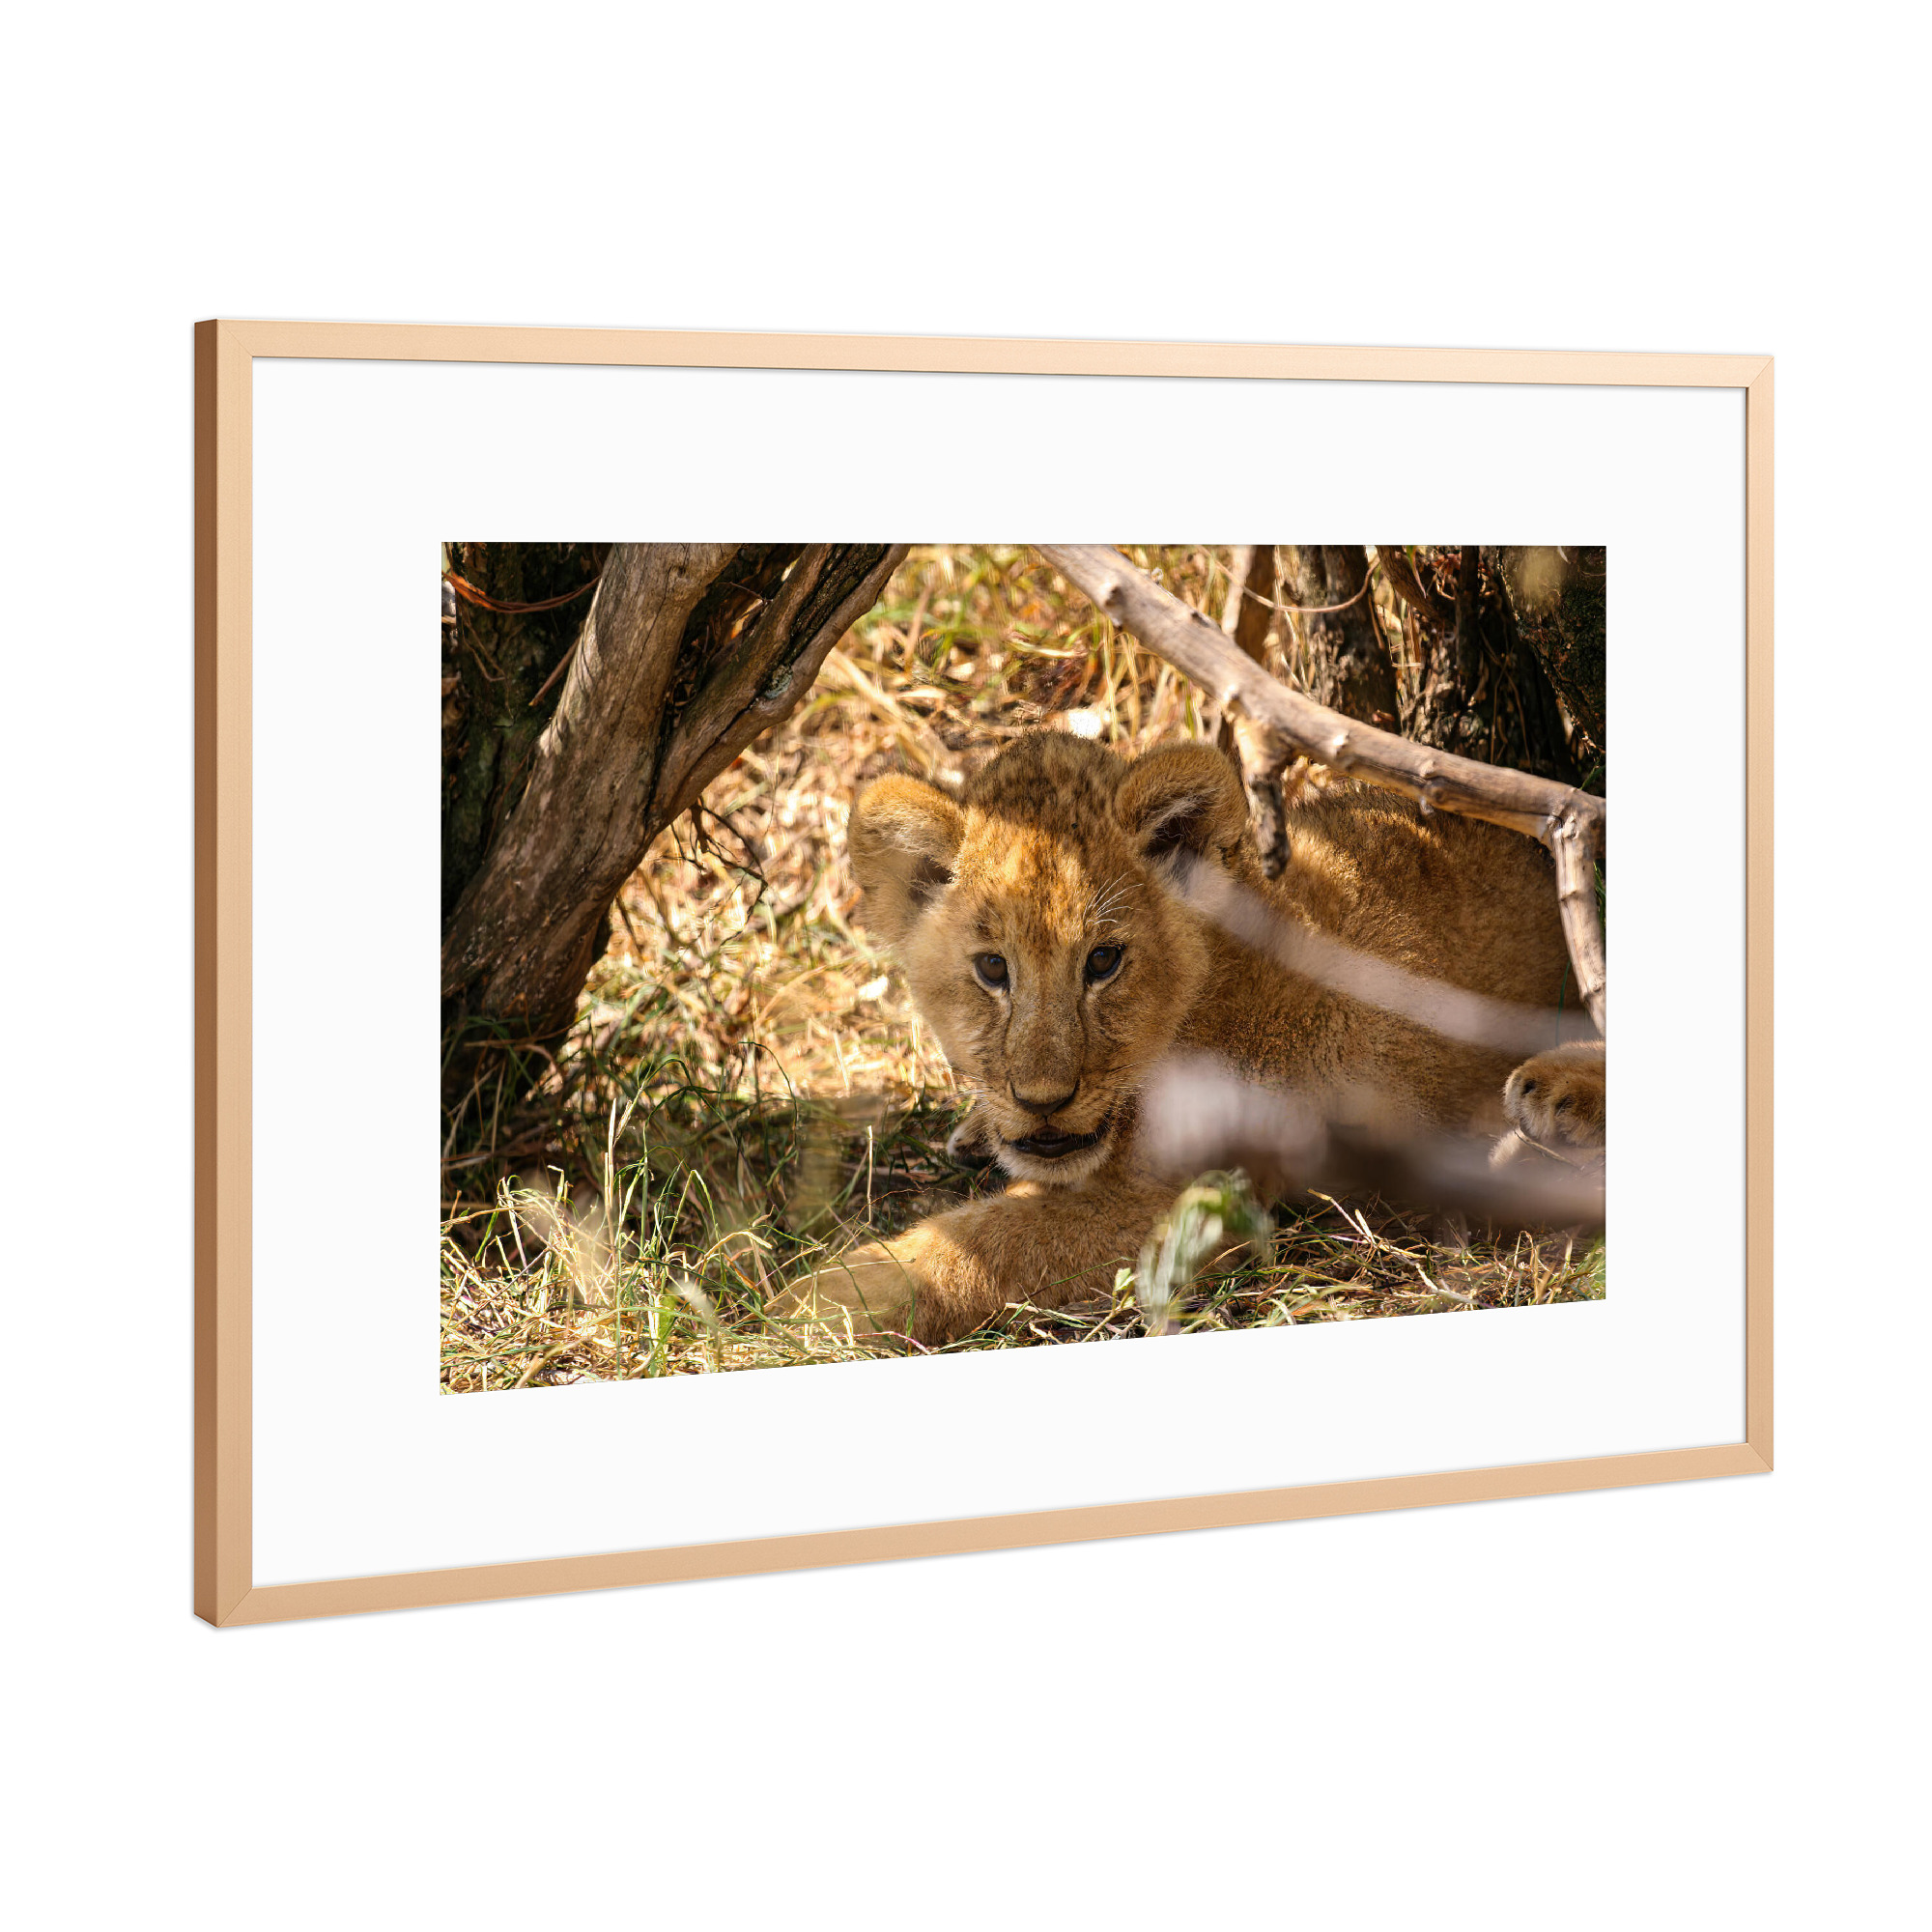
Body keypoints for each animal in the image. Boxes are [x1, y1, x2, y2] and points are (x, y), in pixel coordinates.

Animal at [778, 730, 1604, 1345]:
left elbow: (990, 1244)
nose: (1042, 1101)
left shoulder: (1188, 1196)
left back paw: (1547, 1108)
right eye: (991, 968)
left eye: (1103, 961)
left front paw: (814, 1302)